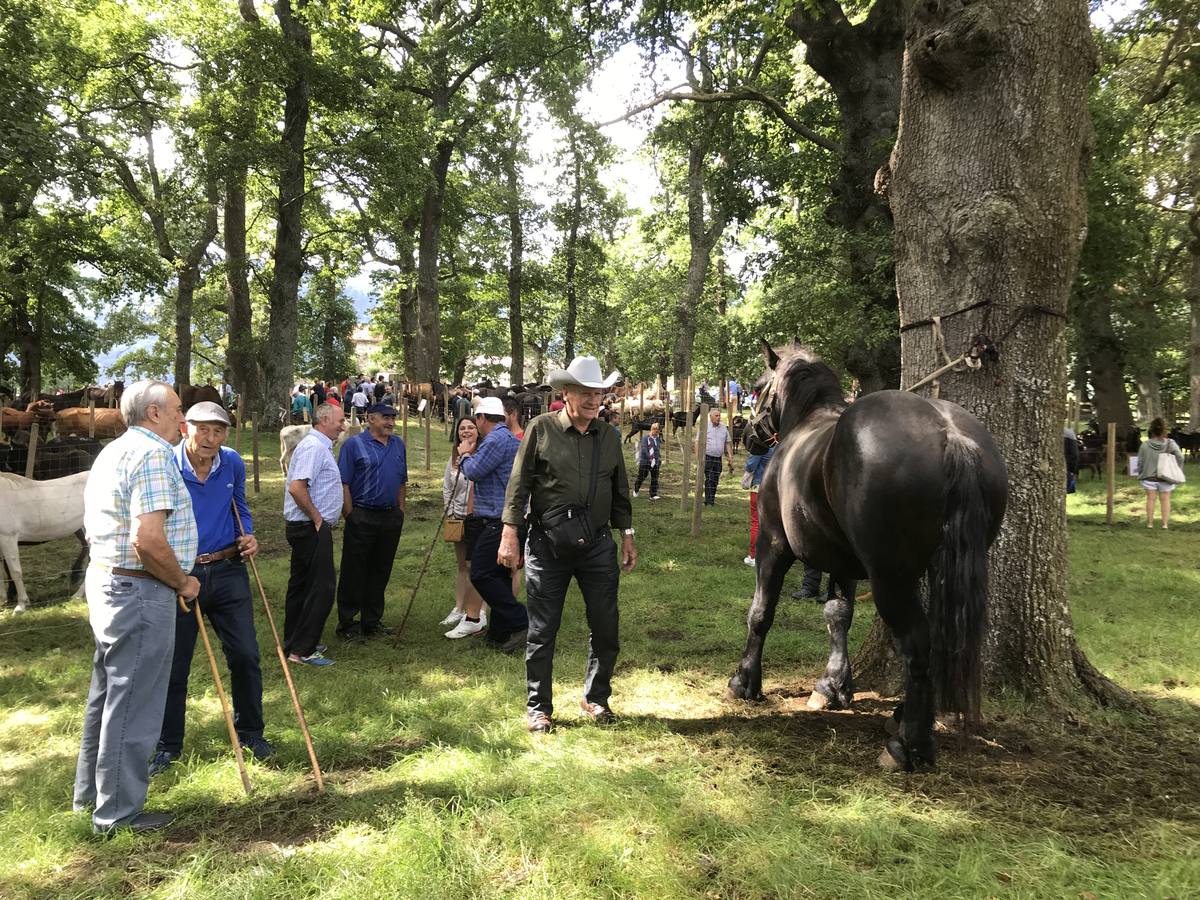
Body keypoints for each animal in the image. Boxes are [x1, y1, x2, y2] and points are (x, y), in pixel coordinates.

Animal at [0, 472, 88, 614]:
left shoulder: (8, 538)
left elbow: (15, 572)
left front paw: (21, 605)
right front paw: (2, 600)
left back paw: (77, 595)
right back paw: (78, 595)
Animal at [724, 340, 1008, 772]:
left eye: (757, 388)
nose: (751, 436)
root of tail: (951, 435)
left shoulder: (774, 546)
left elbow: (760, 613)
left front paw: (745, 681)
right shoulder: (843, 562)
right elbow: (838, 615)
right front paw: (834, 686)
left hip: (889, 577)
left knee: (917, 642)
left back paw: (910, 744)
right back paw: (906, 718)